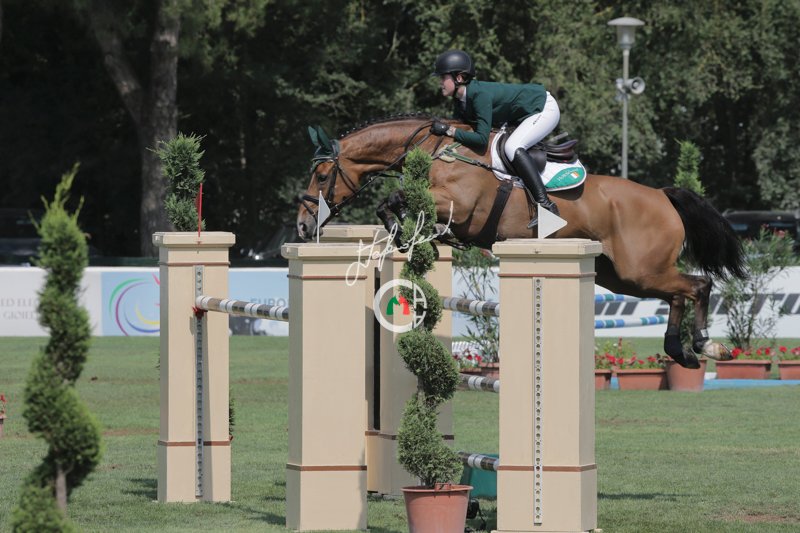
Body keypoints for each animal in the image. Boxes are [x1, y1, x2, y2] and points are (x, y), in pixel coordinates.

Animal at [296, 113, 746, 368]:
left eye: (322, 176)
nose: (302, 226)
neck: (438, 147)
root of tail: (662, 195)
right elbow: (393, 205)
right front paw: (408, 235)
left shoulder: (458, 204)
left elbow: (393, 201)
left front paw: (407, 232)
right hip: (622, 276)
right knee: (678, 293)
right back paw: (680, 352)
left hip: (640, 269)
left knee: (697, 285)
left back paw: (707, 346)